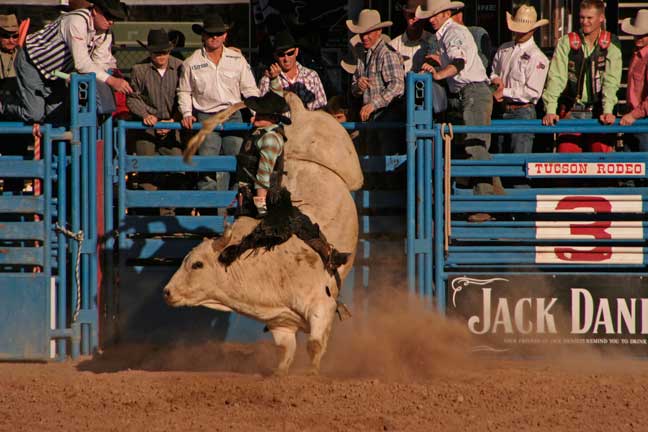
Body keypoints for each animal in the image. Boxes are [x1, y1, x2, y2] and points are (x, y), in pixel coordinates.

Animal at [163, 94, 364, 374]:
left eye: (197, 264)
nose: (167, 292)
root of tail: (297, 109)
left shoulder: (321, 306)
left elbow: (314, 345)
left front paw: (312, 375)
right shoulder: (281, 321)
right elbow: (285, 350)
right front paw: (279, 374)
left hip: (347, 159)